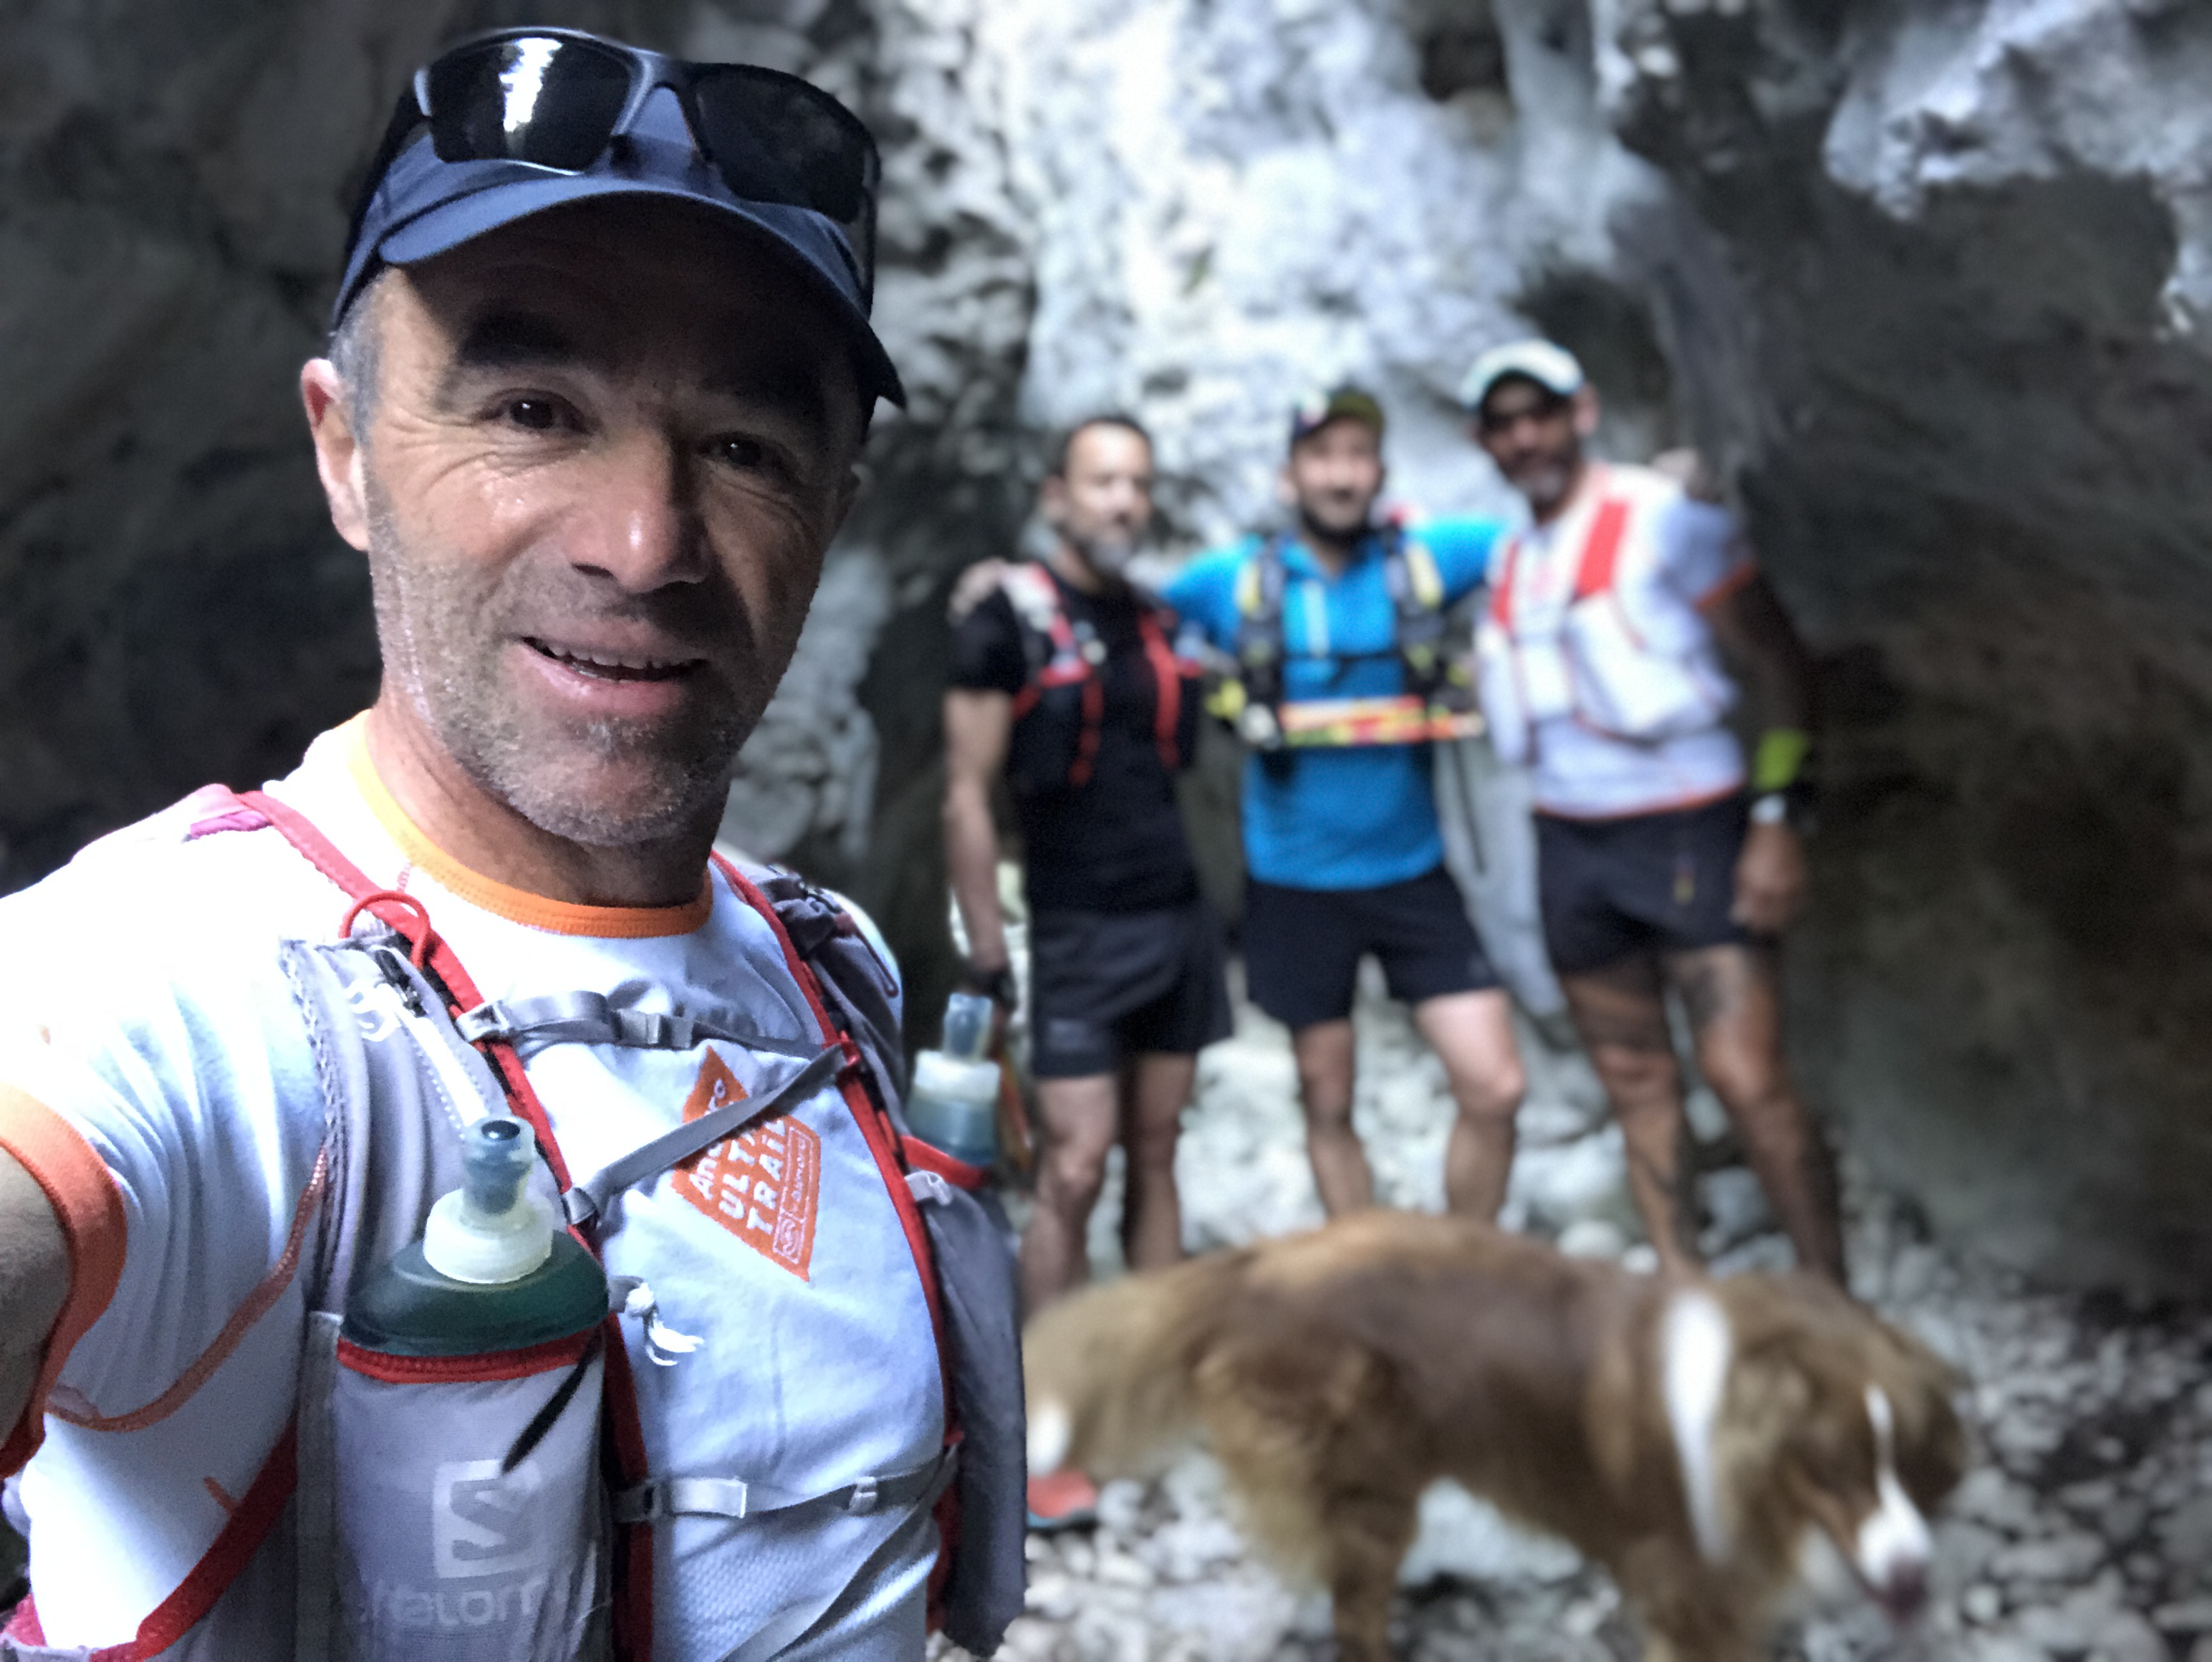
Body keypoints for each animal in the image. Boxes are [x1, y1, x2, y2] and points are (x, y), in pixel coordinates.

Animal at [1024, 1210, 1965, 1661]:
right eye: (1833, 1470)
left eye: (1904, 1463)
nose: (1916, 1570)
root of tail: (1255, 1266)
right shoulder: (1689, 1594)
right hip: (1369, 1484)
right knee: (1354, 1613)